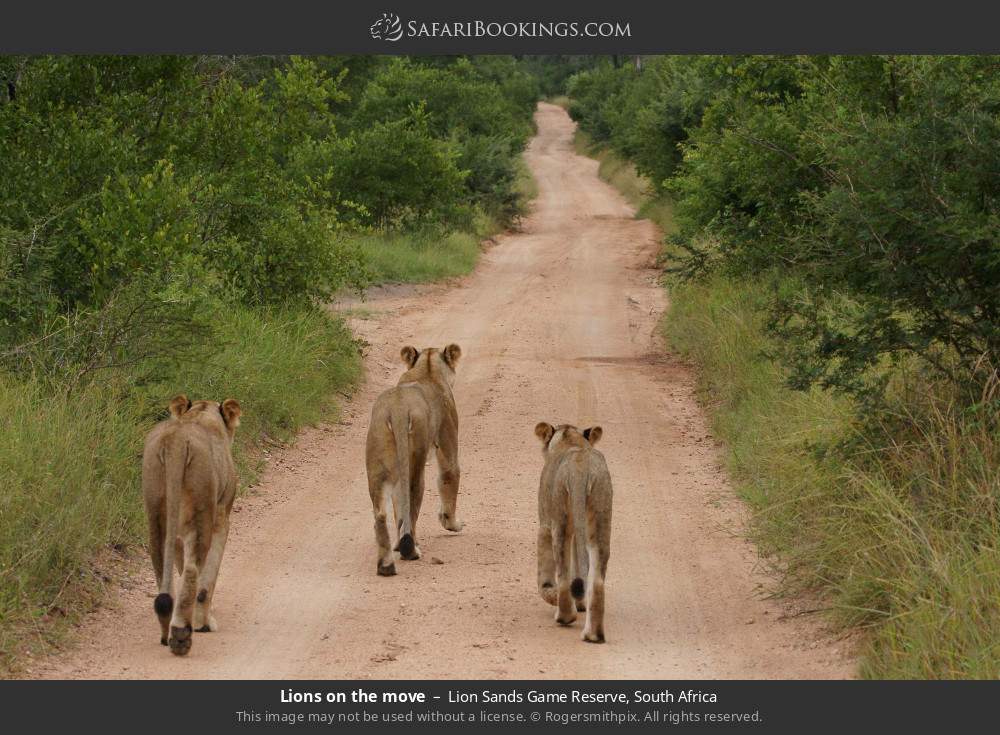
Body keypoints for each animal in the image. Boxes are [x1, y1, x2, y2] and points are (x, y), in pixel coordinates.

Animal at [142, 395, 241, 656]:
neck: (201, 414)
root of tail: (175, 441)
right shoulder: (222, 517)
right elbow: (207, 580)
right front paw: (204, 623)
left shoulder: (177, 533)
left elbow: (178, 563)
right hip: (201, 512)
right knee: (192, 571)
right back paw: (181, 635)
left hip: (156, 515)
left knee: (162, 569)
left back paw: (166, 634)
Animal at [365, 344, 464, 576]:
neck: (426, 370)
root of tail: (398, 409)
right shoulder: (447, 441)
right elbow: (449, 477)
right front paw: (453, 524)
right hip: (416, 463)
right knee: (411, 502)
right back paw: (411, 550)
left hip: (377, 463)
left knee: (381, 512)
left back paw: (386, 565)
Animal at [534, 422, 613, 643]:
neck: (571, 440)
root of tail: (580, 468)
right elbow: (580, 563)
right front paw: (581, 604)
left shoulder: (545, 524)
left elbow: (545, 576)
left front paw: (550, 594)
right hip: (601, 515)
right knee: (596, 580)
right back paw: (592, 635)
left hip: (559, 518)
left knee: (562, 573)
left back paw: (564, 616)